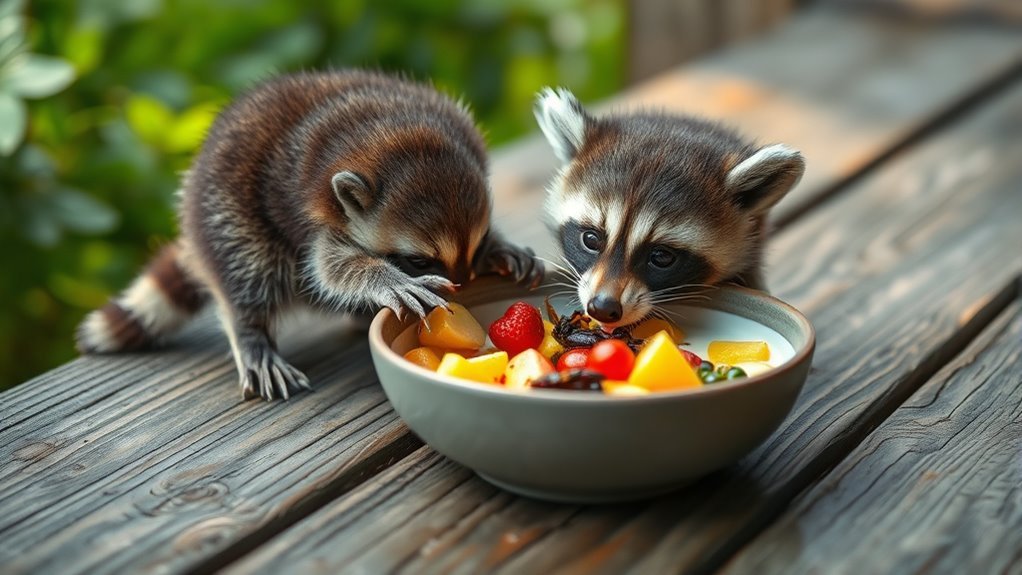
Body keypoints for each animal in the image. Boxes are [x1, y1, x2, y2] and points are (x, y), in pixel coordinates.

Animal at [76, 70, 541, 401]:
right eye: (418, 261)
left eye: (475, 247)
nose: (466, 290)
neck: (395, 134)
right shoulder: (320, 210)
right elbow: (330, 266)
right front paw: (386, 279)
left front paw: (499, 248)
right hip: (225, 207)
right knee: (247, 268)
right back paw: (250, 330)